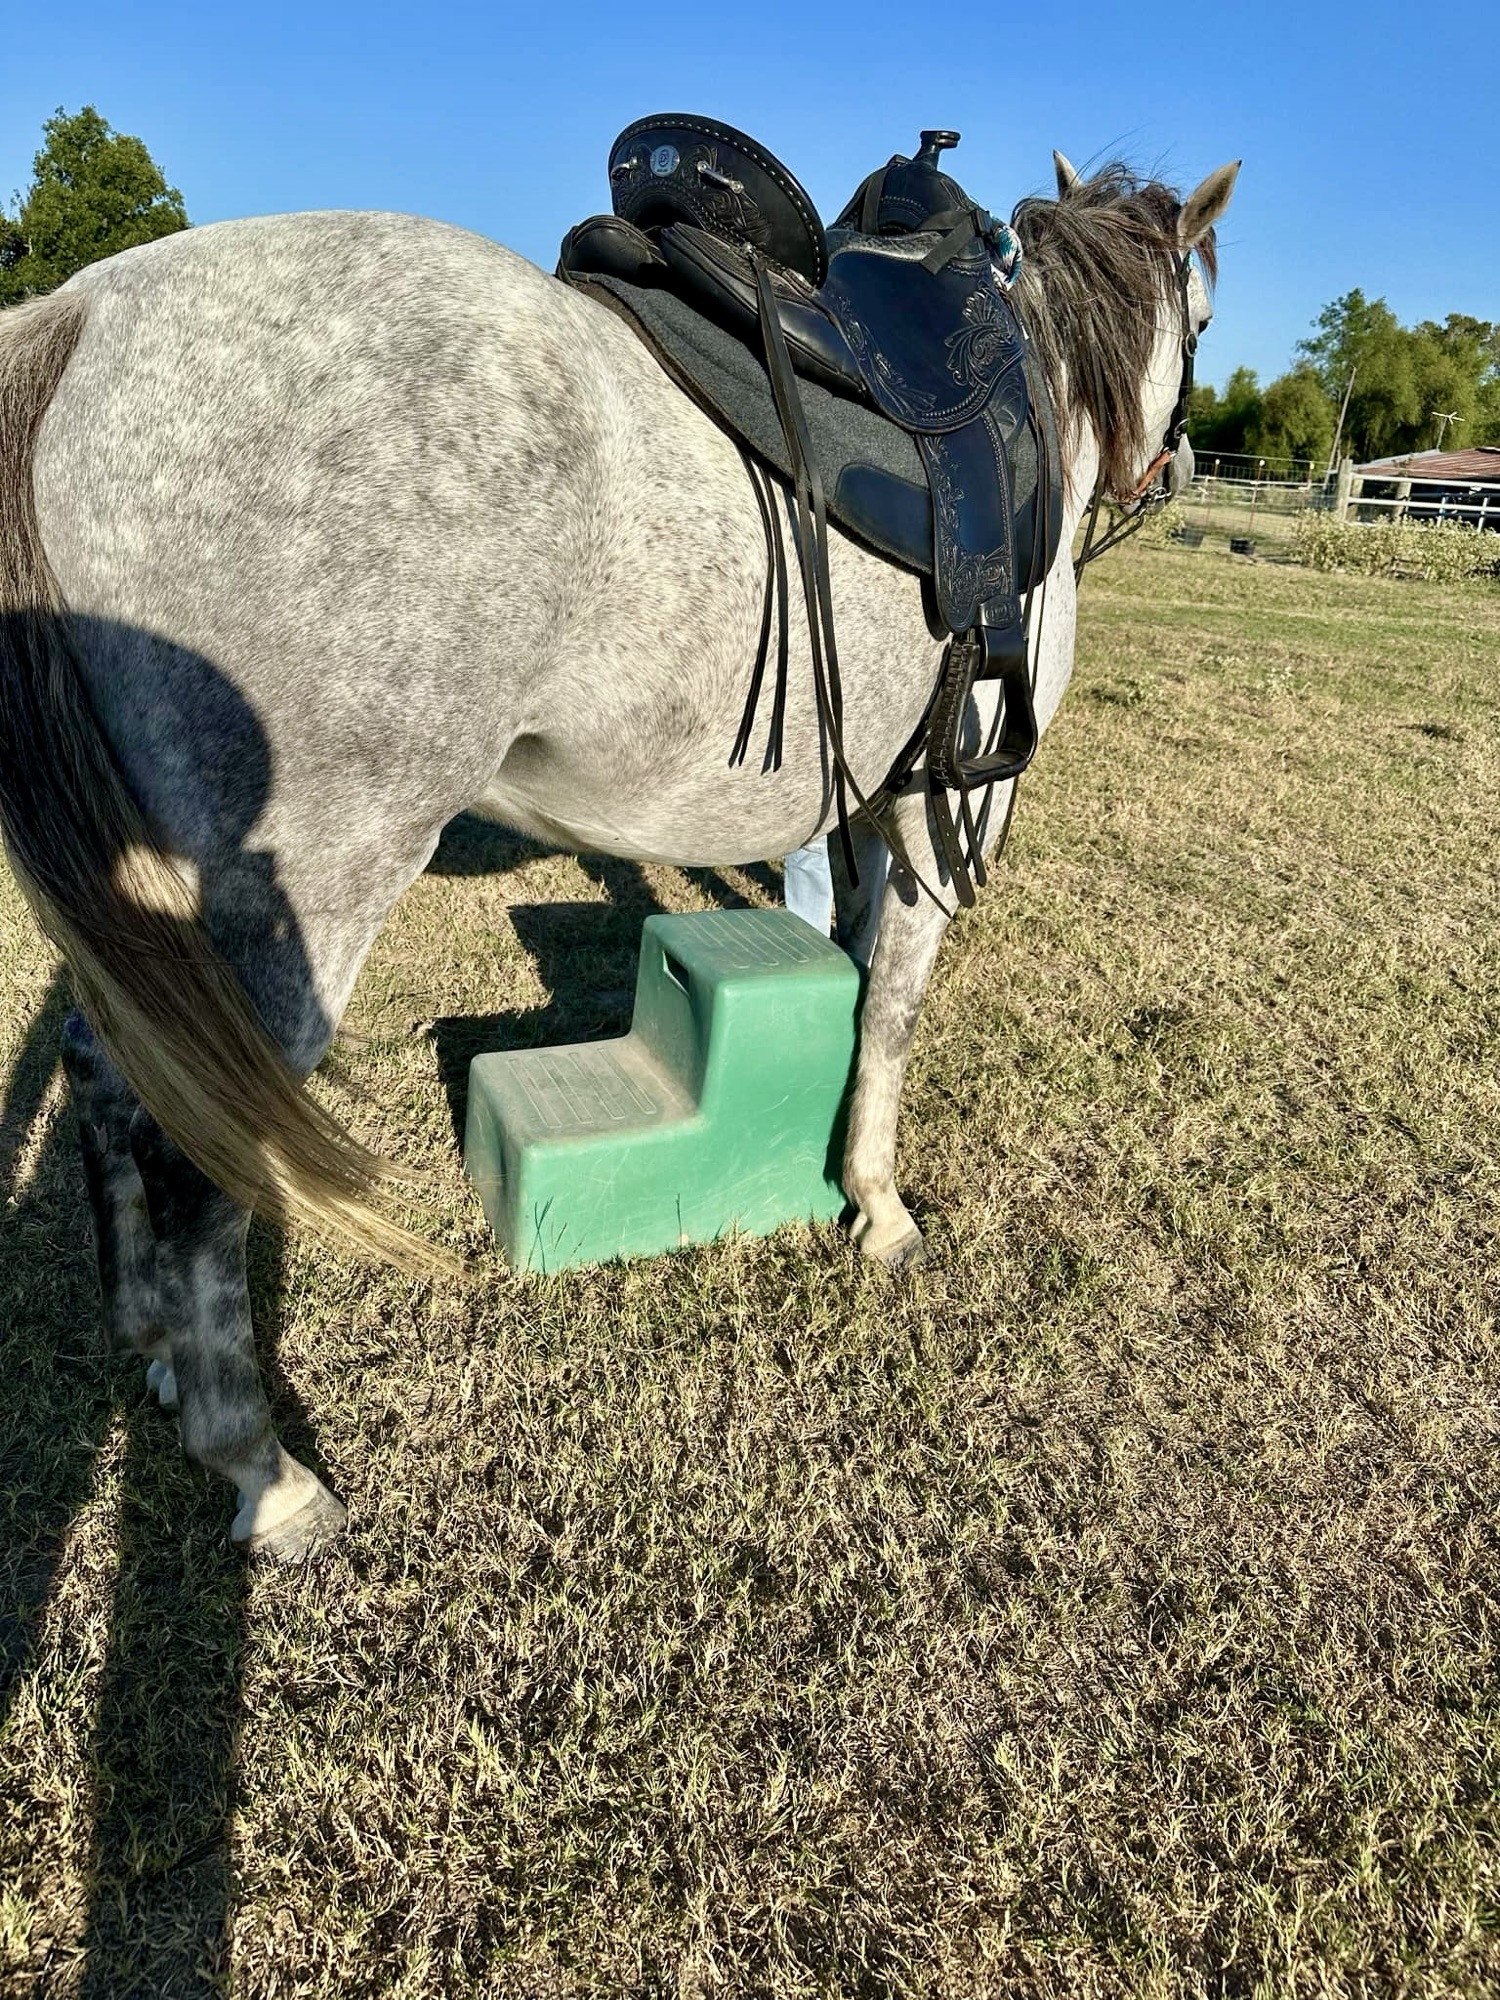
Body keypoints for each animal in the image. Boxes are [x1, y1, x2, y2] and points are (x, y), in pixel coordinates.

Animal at [0, 150, 1237, 1558]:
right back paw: (265, 1471)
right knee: (199, 1162)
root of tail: (82, 312)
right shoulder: (942, 808)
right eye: (1202, 317)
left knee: (106, 1080)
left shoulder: (865, 811)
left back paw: (153, 1343)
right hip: (302, 894)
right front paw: (877, 1204)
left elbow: (857, 969)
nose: (1171, 469)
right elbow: (893, 1010)